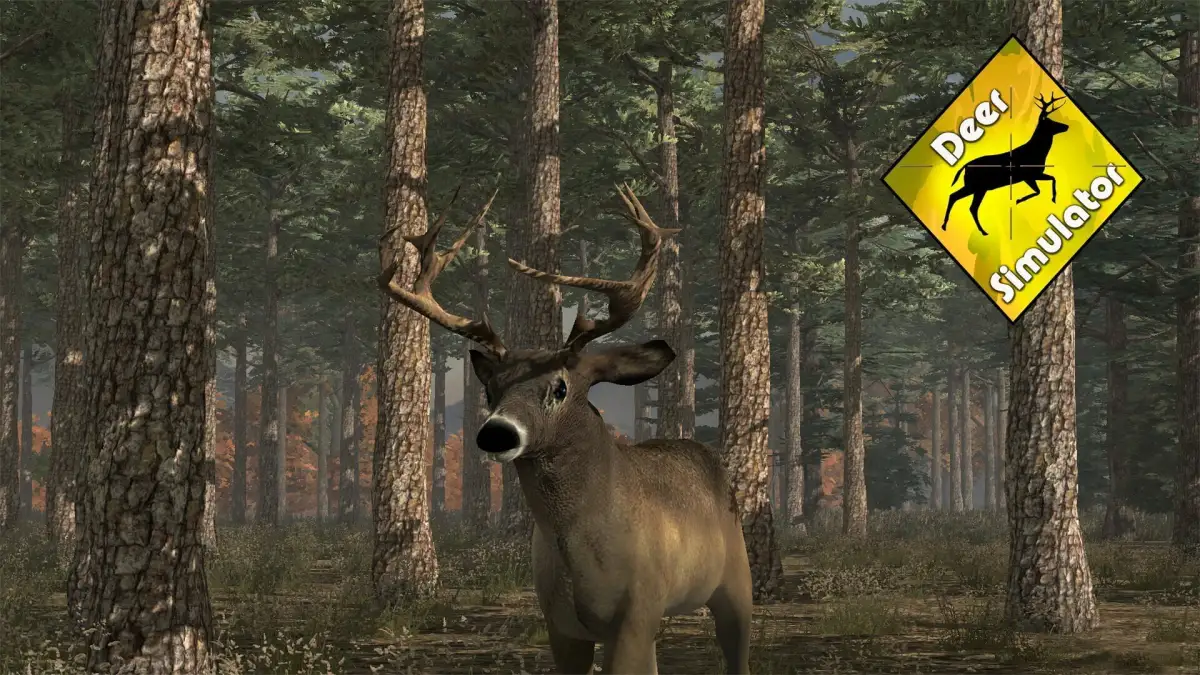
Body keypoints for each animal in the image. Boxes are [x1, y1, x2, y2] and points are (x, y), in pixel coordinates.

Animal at [378, 185, 753, 675]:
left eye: (560, 386)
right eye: (491, 389)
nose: (496, 432)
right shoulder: (560, 624)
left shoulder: (636, 610)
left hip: (736, 580)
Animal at [940, 92, 1070, 236]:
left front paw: (1052, 198)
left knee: (964, 202)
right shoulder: (1028, 175)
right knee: (962, 201)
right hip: (976, 185)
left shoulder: (1032, 175)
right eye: (1050, 122)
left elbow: (1051, 180)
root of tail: (965, 166)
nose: (1066, 126)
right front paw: (1020, 200)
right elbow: (1041, 189)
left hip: (977, 187)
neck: (1037, 153)